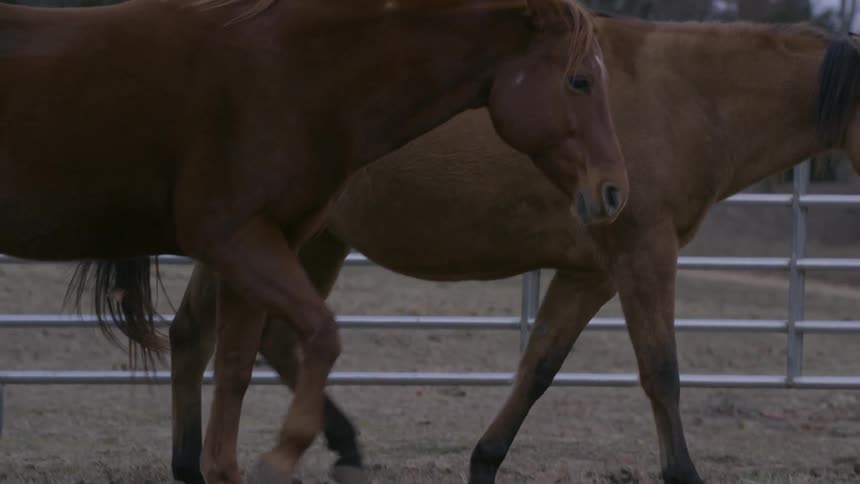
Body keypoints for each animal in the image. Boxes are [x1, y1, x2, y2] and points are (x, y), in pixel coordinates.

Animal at [2, 0, 629, 482]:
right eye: (579, 80)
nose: (615, 191)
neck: (289, 75)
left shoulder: (259, 249)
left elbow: (235, 378)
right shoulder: (240, 242)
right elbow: (322, 336)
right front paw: (283, 455)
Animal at [167, 11, 860, 484]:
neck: (685, 95)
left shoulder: (590, 274)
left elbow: (538, 368)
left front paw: (484, 462)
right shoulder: (643, 253)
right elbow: (661, 372)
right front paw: (683, 474)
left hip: (311, 243)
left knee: (238, 338)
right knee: (221, 338)